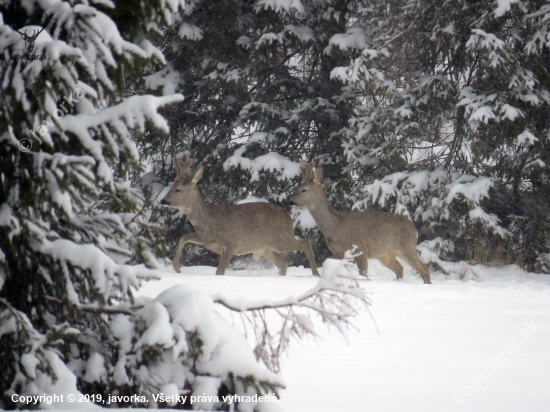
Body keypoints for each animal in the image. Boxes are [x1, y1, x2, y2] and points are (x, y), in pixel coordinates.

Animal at [160, 156, 322, 278]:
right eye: (171, 187)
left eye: (178, 190)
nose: (163, 201)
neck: (209, 221)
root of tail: (289, 219)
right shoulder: (206, 239)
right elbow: (184, 237)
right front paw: (176, 267)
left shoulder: (231, 242)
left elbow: (220, 271)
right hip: (266, 248)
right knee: (283, 262)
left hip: (280, 239)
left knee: (305, 243)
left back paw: (316, 275)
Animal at [292, 161, 434, 284]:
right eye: (297, 188)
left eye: (304, 190)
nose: (290, 201)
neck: (334, 226)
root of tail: (414, 229)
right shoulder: (337, 252)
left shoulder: (360, 248)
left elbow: (363, 274)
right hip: (386, 253)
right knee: (400, 269)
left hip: (406, 246)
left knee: (425, 270)